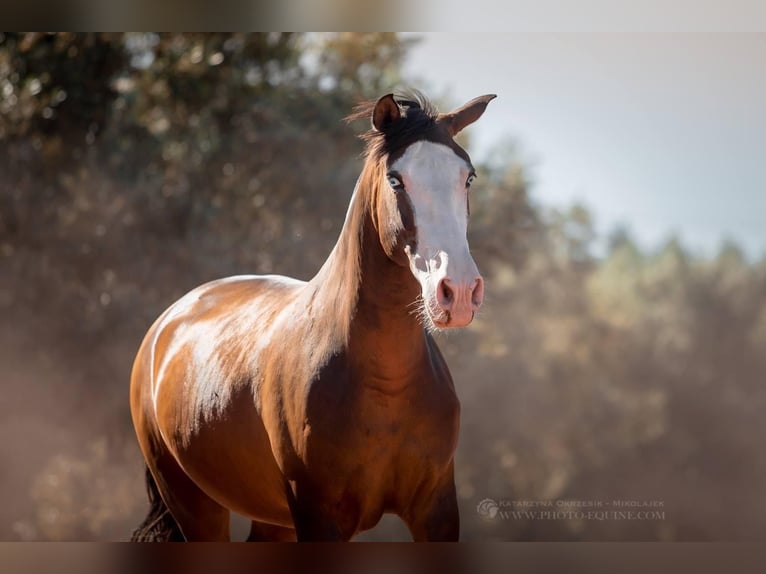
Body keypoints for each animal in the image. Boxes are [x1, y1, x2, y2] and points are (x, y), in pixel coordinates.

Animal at [130, 91, 498, 544]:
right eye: (396, 180)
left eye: (468, 178)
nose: (458, 292)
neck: (386, 385)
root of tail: (167, 323)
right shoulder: (319, 516)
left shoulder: (437, 510)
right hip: (196, 507)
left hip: (272, 520)